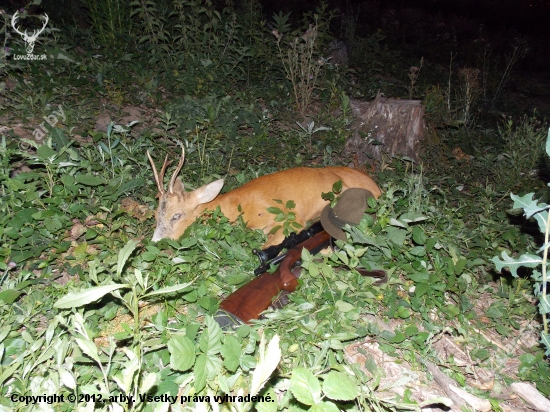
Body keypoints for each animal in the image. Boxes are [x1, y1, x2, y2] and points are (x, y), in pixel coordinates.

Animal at [147, 147, 382, 246]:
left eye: (176, 216)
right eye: (156, 215)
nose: (155, 242)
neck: (235, 208)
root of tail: (377, 188)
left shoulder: (291, 220)